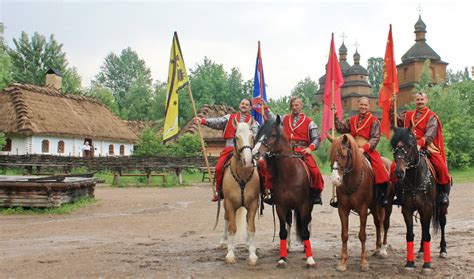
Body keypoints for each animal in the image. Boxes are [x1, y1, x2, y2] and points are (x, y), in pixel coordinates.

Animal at [221, 121, 262, 266]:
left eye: (252, 136)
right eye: (237, 137)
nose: (248, 161)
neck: (242, 176)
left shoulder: (253, 204)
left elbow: (251, 228)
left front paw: (252, 255)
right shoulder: (229, 204)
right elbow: (232, 228)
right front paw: (230, 255)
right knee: (226, 219)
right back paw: (224, 242)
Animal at [254, 116, 316, 270]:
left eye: (272, 135)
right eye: (259, 134)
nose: (255, 153)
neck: (290, 174)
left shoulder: (304, 206)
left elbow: (305, 230)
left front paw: (310, 259)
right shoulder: (281, 207)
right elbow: (282, 232)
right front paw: (282, 258)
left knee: (307, 224)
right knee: (289, 223)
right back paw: (287, 247)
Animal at [330, 135, 392, 272]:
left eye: (343, 155)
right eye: (330, 156)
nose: (335, 179)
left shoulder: (363, 209)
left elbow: (362, 235)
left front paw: (363, 262)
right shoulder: (342, 209)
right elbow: (344, 234)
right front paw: (342, 262)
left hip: (387, 205)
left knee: (385, 224)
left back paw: (383, 250)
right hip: (374, 207)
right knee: (377, 223)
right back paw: (377, 248)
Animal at [388, 129, 448, 276]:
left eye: (409, 145)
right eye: (394, 147)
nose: (399, 172)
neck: (414, 178)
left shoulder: (427, 208)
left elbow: (427, 235)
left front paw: (427, 265)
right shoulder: (407, 209)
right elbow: (410, 235)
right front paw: (410, 263)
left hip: (442, 207)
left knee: (442, 223)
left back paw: (443, 250)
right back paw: (421, 250)